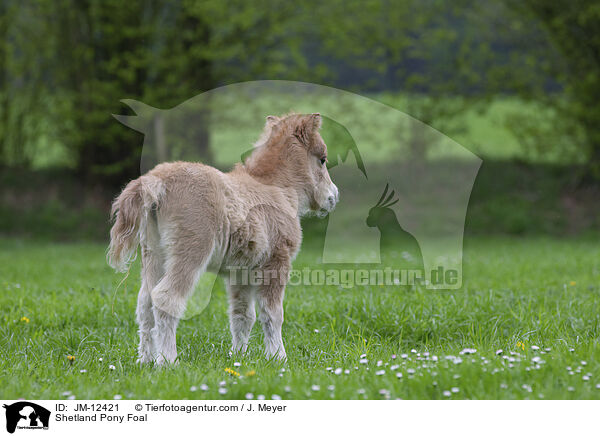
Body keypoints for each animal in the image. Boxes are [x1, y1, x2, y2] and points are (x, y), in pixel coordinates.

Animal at [106, 113, 338, 364]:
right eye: (323, 159)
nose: (334, 197)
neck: (274, 187)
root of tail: (156, 181)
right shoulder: (276, 261)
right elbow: (273, 313)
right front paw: (278, 357)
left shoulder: (241, 271)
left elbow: (242, 315)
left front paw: (238, 356)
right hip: (191, 250)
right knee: (165, 297)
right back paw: (167, 361)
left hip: (153, 253)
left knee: (145, 302)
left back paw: (146, 360)